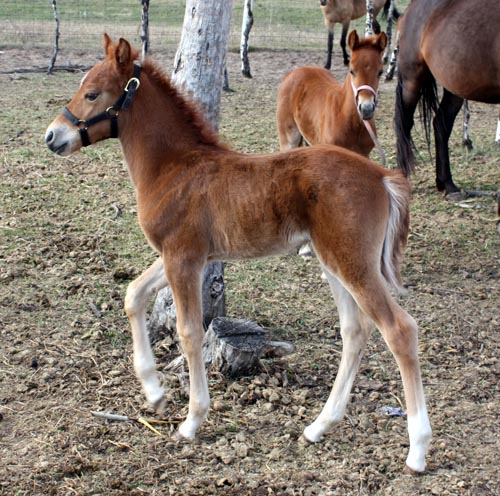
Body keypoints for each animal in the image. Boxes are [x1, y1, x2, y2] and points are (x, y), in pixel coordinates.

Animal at [394, 0, 500, 199]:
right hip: (412, 81)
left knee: (441, 125)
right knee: (404, 125)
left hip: (455, 87)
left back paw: (447, 185)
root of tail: (409, 11)